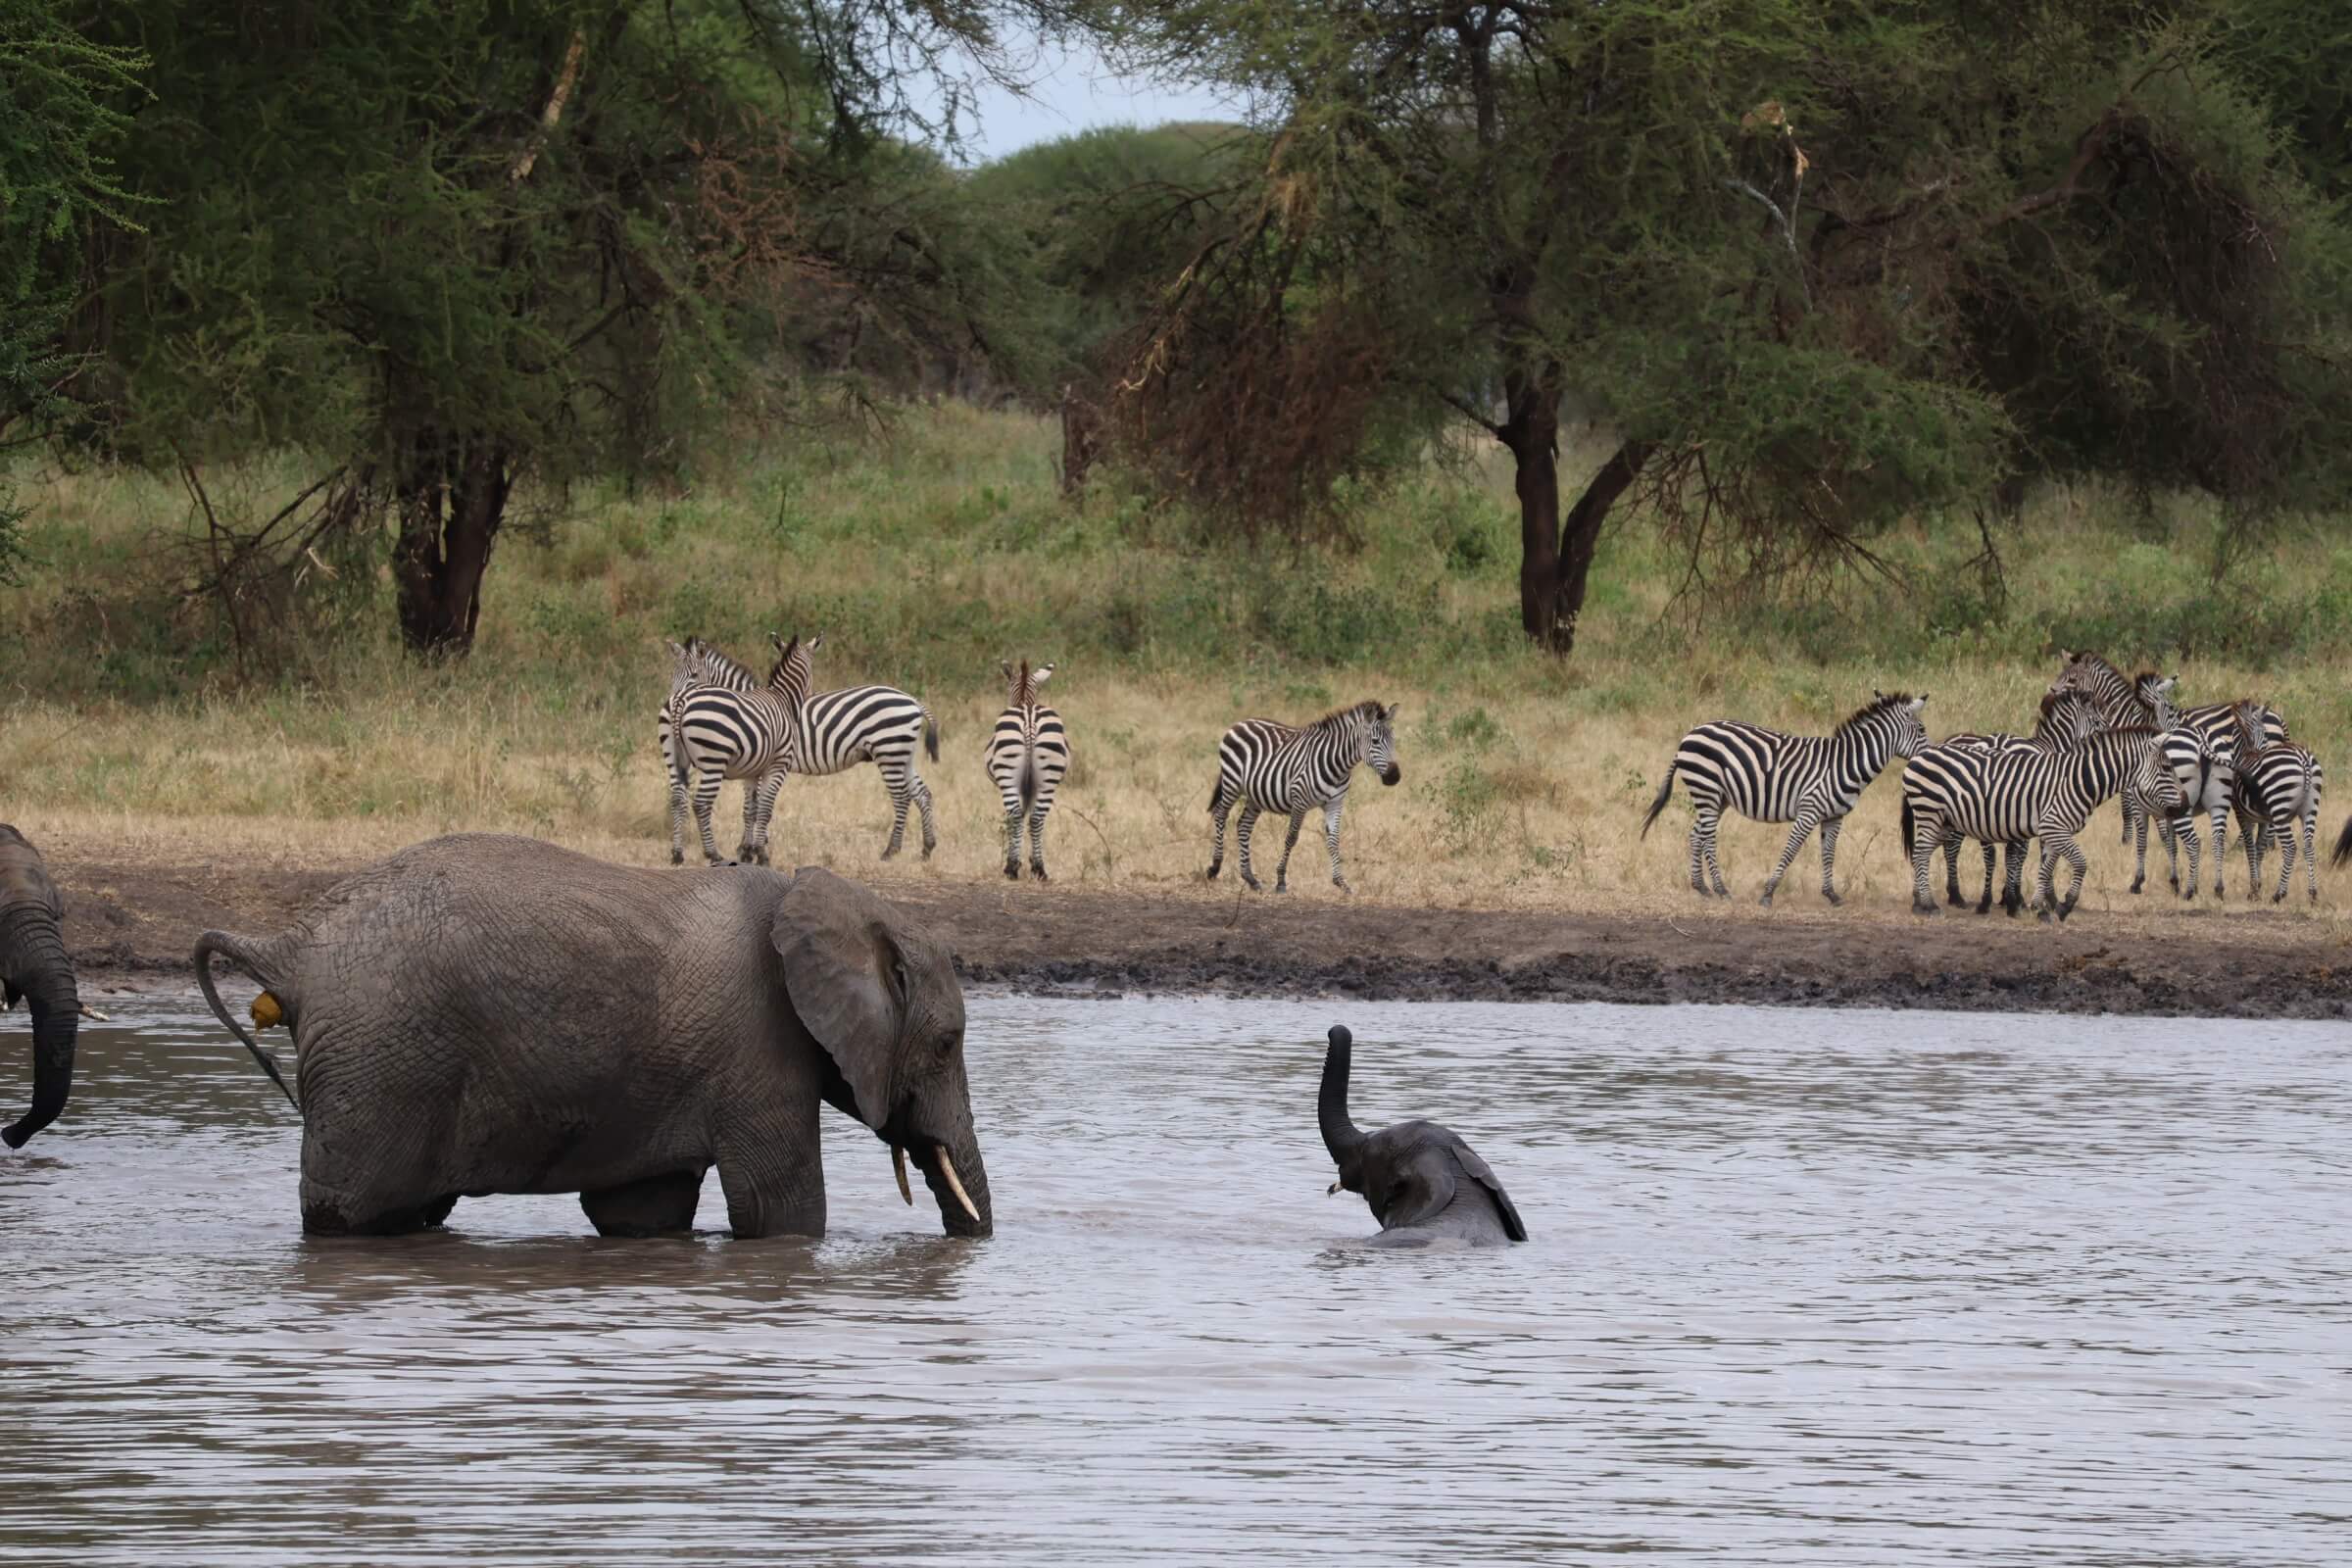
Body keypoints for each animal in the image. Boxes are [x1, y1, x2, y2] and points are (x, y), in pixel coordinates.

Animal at [192, 833, 991, 1240]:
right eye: (947, 1043)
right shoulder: (761, 1046)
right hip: (381, 1062)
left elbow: (641, 1211)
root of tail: (293, 946)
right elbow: (781, 1210)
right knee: (352, 1213)